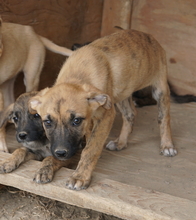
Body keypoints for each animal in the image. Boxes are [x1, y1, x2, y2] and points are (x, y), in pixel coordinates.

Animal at [29, 29, 178, 191]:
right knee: (130, 114)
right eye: (47, 122)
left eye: (76, 121)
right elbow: (89, 140)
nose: (61, 153)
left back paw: (167, 145)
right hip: (122, 94)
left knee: (164, 118)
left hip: (160, 88)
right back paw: (121, 143)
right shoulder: (92, 118)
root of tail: (149, 36)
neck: (77, 77)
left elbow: (91, 148)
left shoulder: (106, 115)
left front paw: (80, 176)